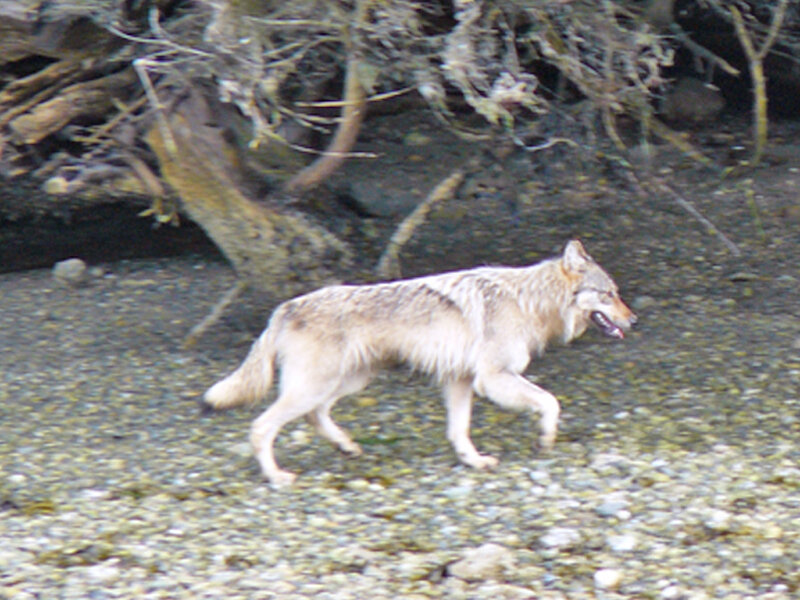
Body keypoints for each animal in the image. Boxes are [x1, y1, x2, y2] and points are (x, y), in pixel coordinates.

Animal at [204, 240, 636, 486]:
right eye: (610, 294)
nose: (634, 320)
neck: (529, 301)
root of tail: (284, 307)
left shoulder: (460, 381)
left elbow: (459, 430)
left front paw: (473, 461)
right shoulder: (493, 378)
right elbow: (550, 402)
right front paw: (546, 438)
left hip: (346, 382)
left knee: (316, 416)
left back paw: (347, 447)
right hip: (317, 386)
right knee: (261, 427)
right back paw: (277, 477)